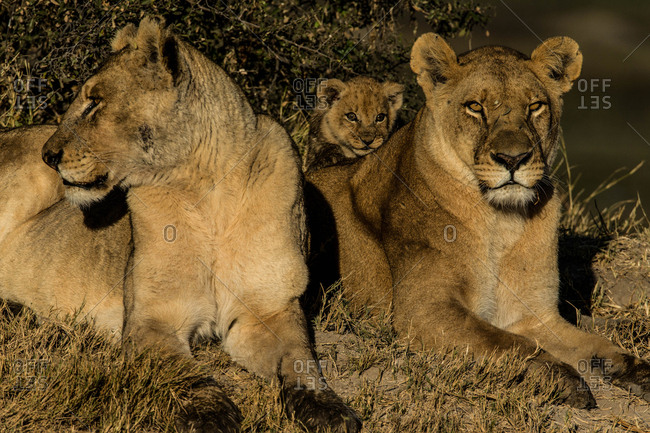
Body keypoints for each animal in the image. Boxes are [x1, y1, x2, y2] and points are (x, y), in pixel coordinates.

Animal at [0, 18, 361, 432]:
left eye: (95, 101)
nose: (49, 155)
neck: (207, 192)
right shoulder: (150, 319)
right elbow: (185, 373)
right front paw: (211, 413)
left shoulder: (269, 309)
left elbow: (301, 360)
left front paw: (330, 409)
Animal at [307, 33, 650, 407]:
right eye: (474, 107)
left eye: (535, 106)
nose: (513, 159)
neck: (502, 221)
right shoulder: (421, 310)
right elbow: (511, 344)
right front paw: (562, 377)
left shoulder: (534, 314)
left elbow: (599, 347)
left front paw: (638, 372)